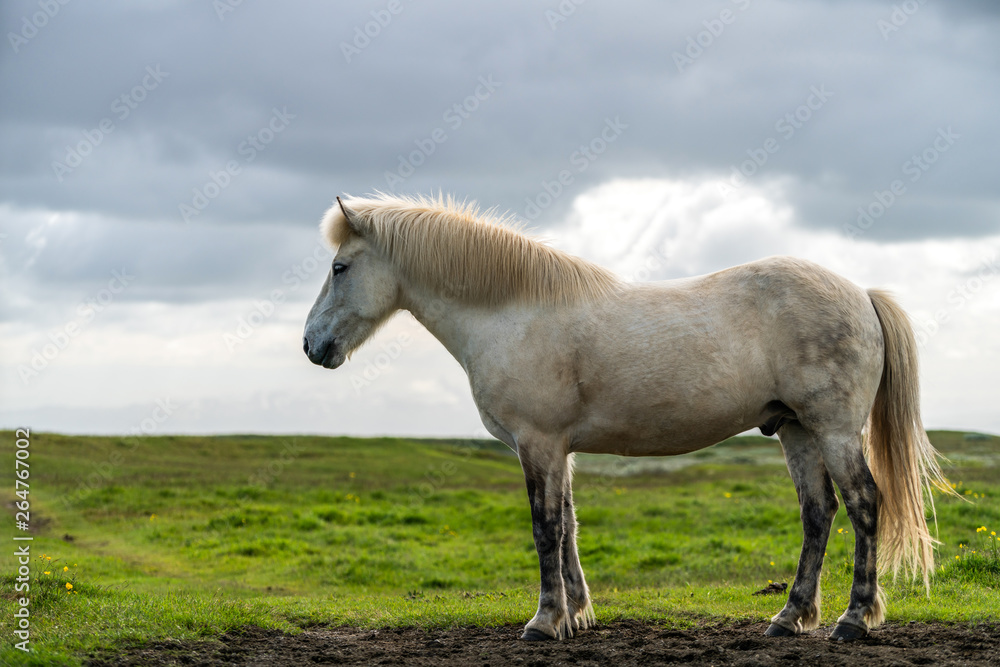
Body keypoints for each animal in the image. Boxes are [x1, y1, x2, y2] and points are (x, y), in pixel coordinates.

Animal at [302, 193, 952, 640]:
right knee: (818, 514)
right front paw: (577, 615)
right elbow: (568, 526)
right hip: (796, 431)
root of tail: (860, 293)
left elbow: (545, 528)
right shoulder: (556, 449)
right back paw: (789, 616)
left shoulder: (538, 444)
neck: (513, 312)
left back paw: (854, 619)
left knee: (865, 504)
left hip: (835, 430)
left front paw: (544, 621)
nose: (312, 345)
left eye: (339, 268)